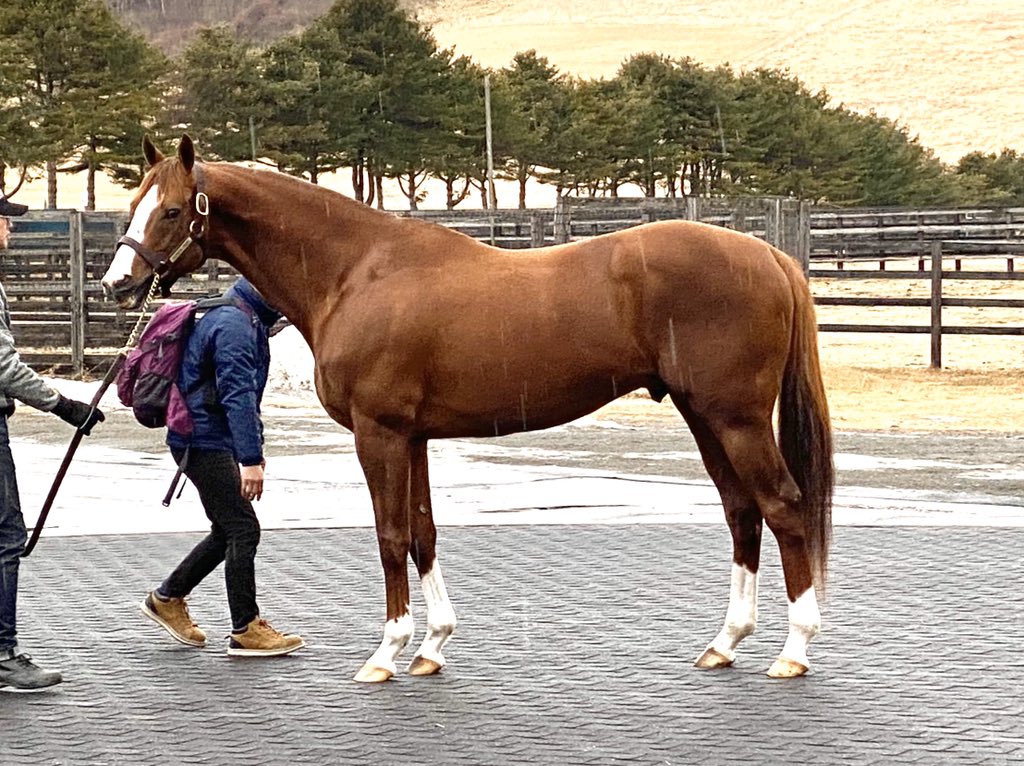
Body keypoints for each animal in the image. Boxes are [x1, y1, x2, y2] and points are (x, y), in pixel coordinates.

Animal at [102, 135, 833, 683]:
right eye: (133, 203)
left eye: (172, 210)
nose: (118, 283)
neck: (357, 271)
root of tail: (768, 253)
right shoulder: (414, 438)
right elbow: (423, 533)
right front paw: (431, 648)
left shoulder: (379, 435)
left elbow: (390, 536)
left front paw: (386, 653)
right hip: (704, 416)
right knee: (741, 513)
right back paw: (726, 643)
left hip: (736, 419)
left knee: (783, 508)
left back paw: (794, 651)